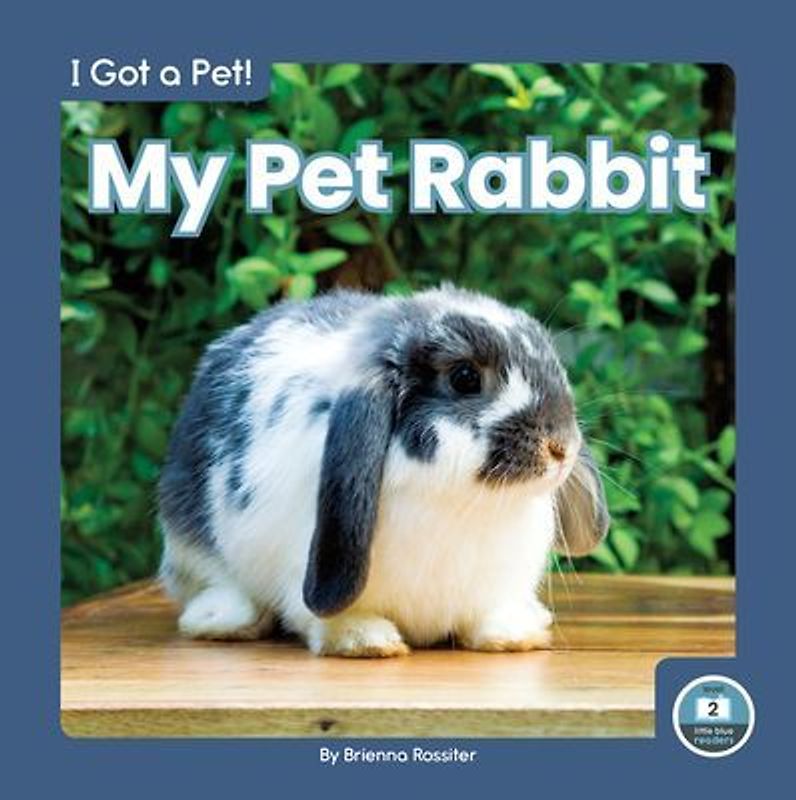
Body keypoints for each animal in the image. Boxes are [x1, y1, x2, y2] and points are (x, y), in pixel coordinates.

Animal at [157, 285, 610, 657]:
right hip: (192, 541)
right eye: (464, 378)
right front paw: (364, 640)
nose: (562, 448)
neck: (462, 504)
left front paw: (513, 635)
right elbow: (328, 615)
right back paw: (222, 620)